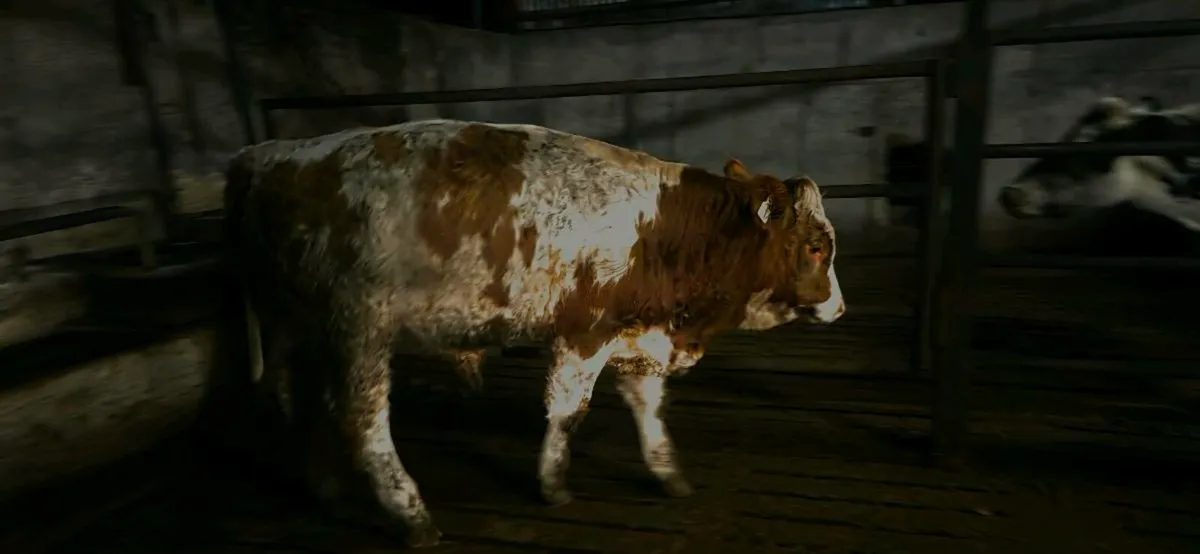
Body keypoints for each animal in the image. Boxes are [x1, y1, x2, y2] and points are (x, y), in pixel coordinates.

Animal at [223, 119, 845, 547]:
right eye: (817, 246)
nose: (839, 307)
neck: (665, 228)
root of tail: (273, 152)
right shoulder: (586, 332)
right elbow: (569, 413)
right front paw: (553, 484)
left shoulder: (637, 334)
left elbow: (646, 405)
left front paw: (668, 473)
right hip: (360, 331)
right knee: (361, 421)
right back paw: (412, 515)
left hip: (305, 332)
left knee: (305, 404)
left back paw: (325, 489)